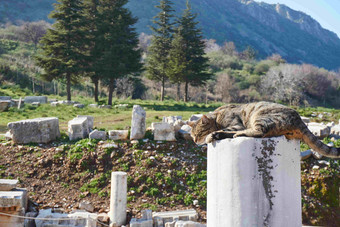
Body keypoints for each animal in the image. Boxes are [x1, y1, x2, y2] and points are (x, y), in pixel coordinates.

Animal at [189, 101, 340, 158]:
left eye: (199, 133)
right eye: (192, 136)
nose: (195, 141)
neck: (217, 116)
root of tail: (298, 118)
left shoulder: (235, 124)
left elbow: (225, 130)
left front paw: (211, 135)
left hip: (260, 117)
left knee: (258, 132)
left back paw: (237, 134)